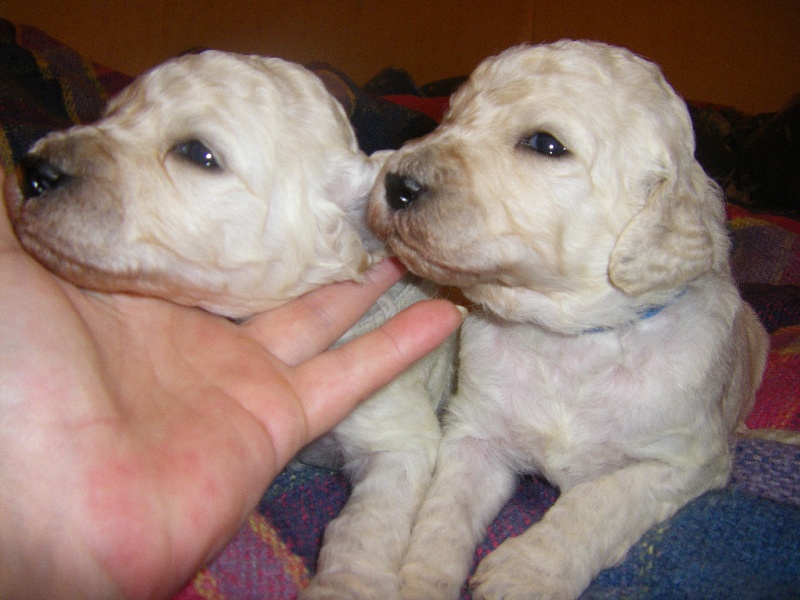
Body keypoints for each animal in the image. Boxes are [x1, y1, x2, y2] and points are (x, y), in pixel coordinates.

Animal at [7, 49, 456, 596]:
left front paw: (341, 586)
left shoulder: (400, 439)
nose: (32, 170)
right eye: (110, 113)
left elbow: (363, 530)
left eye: (198, 153)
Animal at [370, 39, 776, 596]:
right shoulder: (475, 435)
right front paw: (420, 582)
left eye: (545, 143)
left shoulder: (687, 459)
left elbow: (599, 502)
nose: (395, 183)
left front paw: (521, 574)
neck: (568, 339)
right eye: (451, 115)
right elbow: (442, 515)